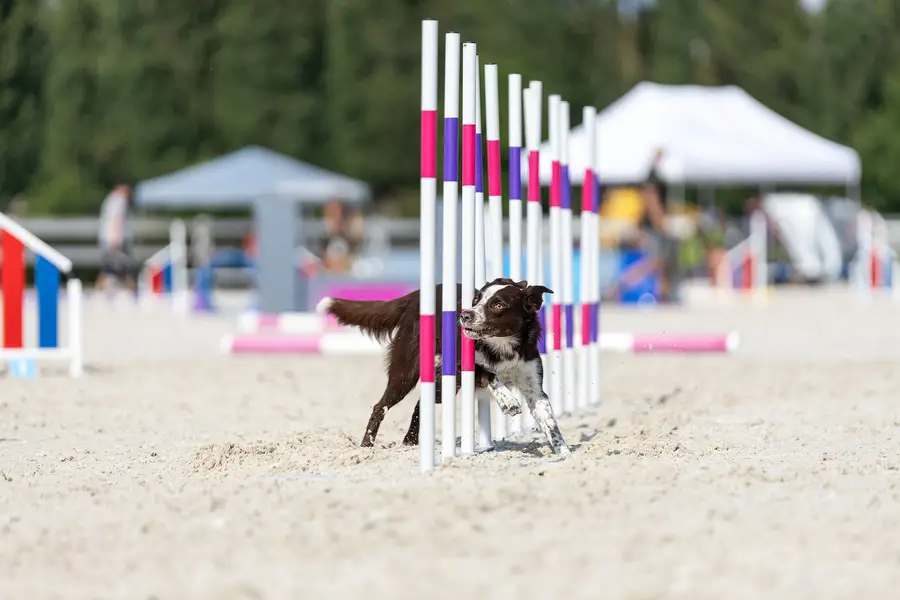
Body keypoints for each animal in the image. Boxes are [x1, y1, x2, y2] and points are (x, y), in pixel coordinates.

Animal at [316, 278, 568, 458]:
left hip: (443, 384)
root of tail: (416, 296)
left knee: (420, 405)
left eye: (498, 304)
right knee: (380, 407)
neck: (503, 344)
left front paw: (564, 453)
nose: (465, 315)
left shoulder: (534, 388)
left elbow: (550, 423)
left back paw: (410, 442)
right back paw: (366, 446)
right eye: (475, 300)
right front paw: (509, 401)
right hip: (406, 374)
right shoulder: (462, 366)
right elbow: (489, 373)